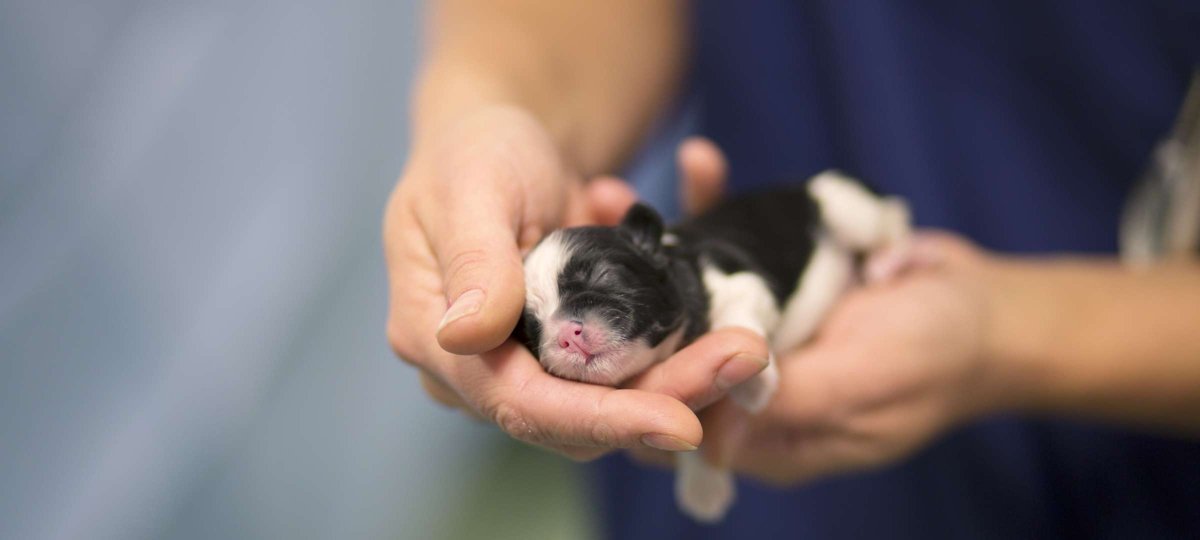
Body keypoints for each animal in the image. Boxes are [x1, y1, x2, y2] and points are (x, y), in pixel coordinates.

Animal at [508, 170, 907, 523]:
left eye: (602, 276)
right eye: (532, 330)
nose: (566, 335)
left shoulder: (744, 284)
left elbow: (736, 323)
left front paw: (752, 384)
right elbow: (691, 431)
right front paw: (702, 489)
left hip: (845, 205)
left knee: (891, 215)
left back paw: (891, 260)